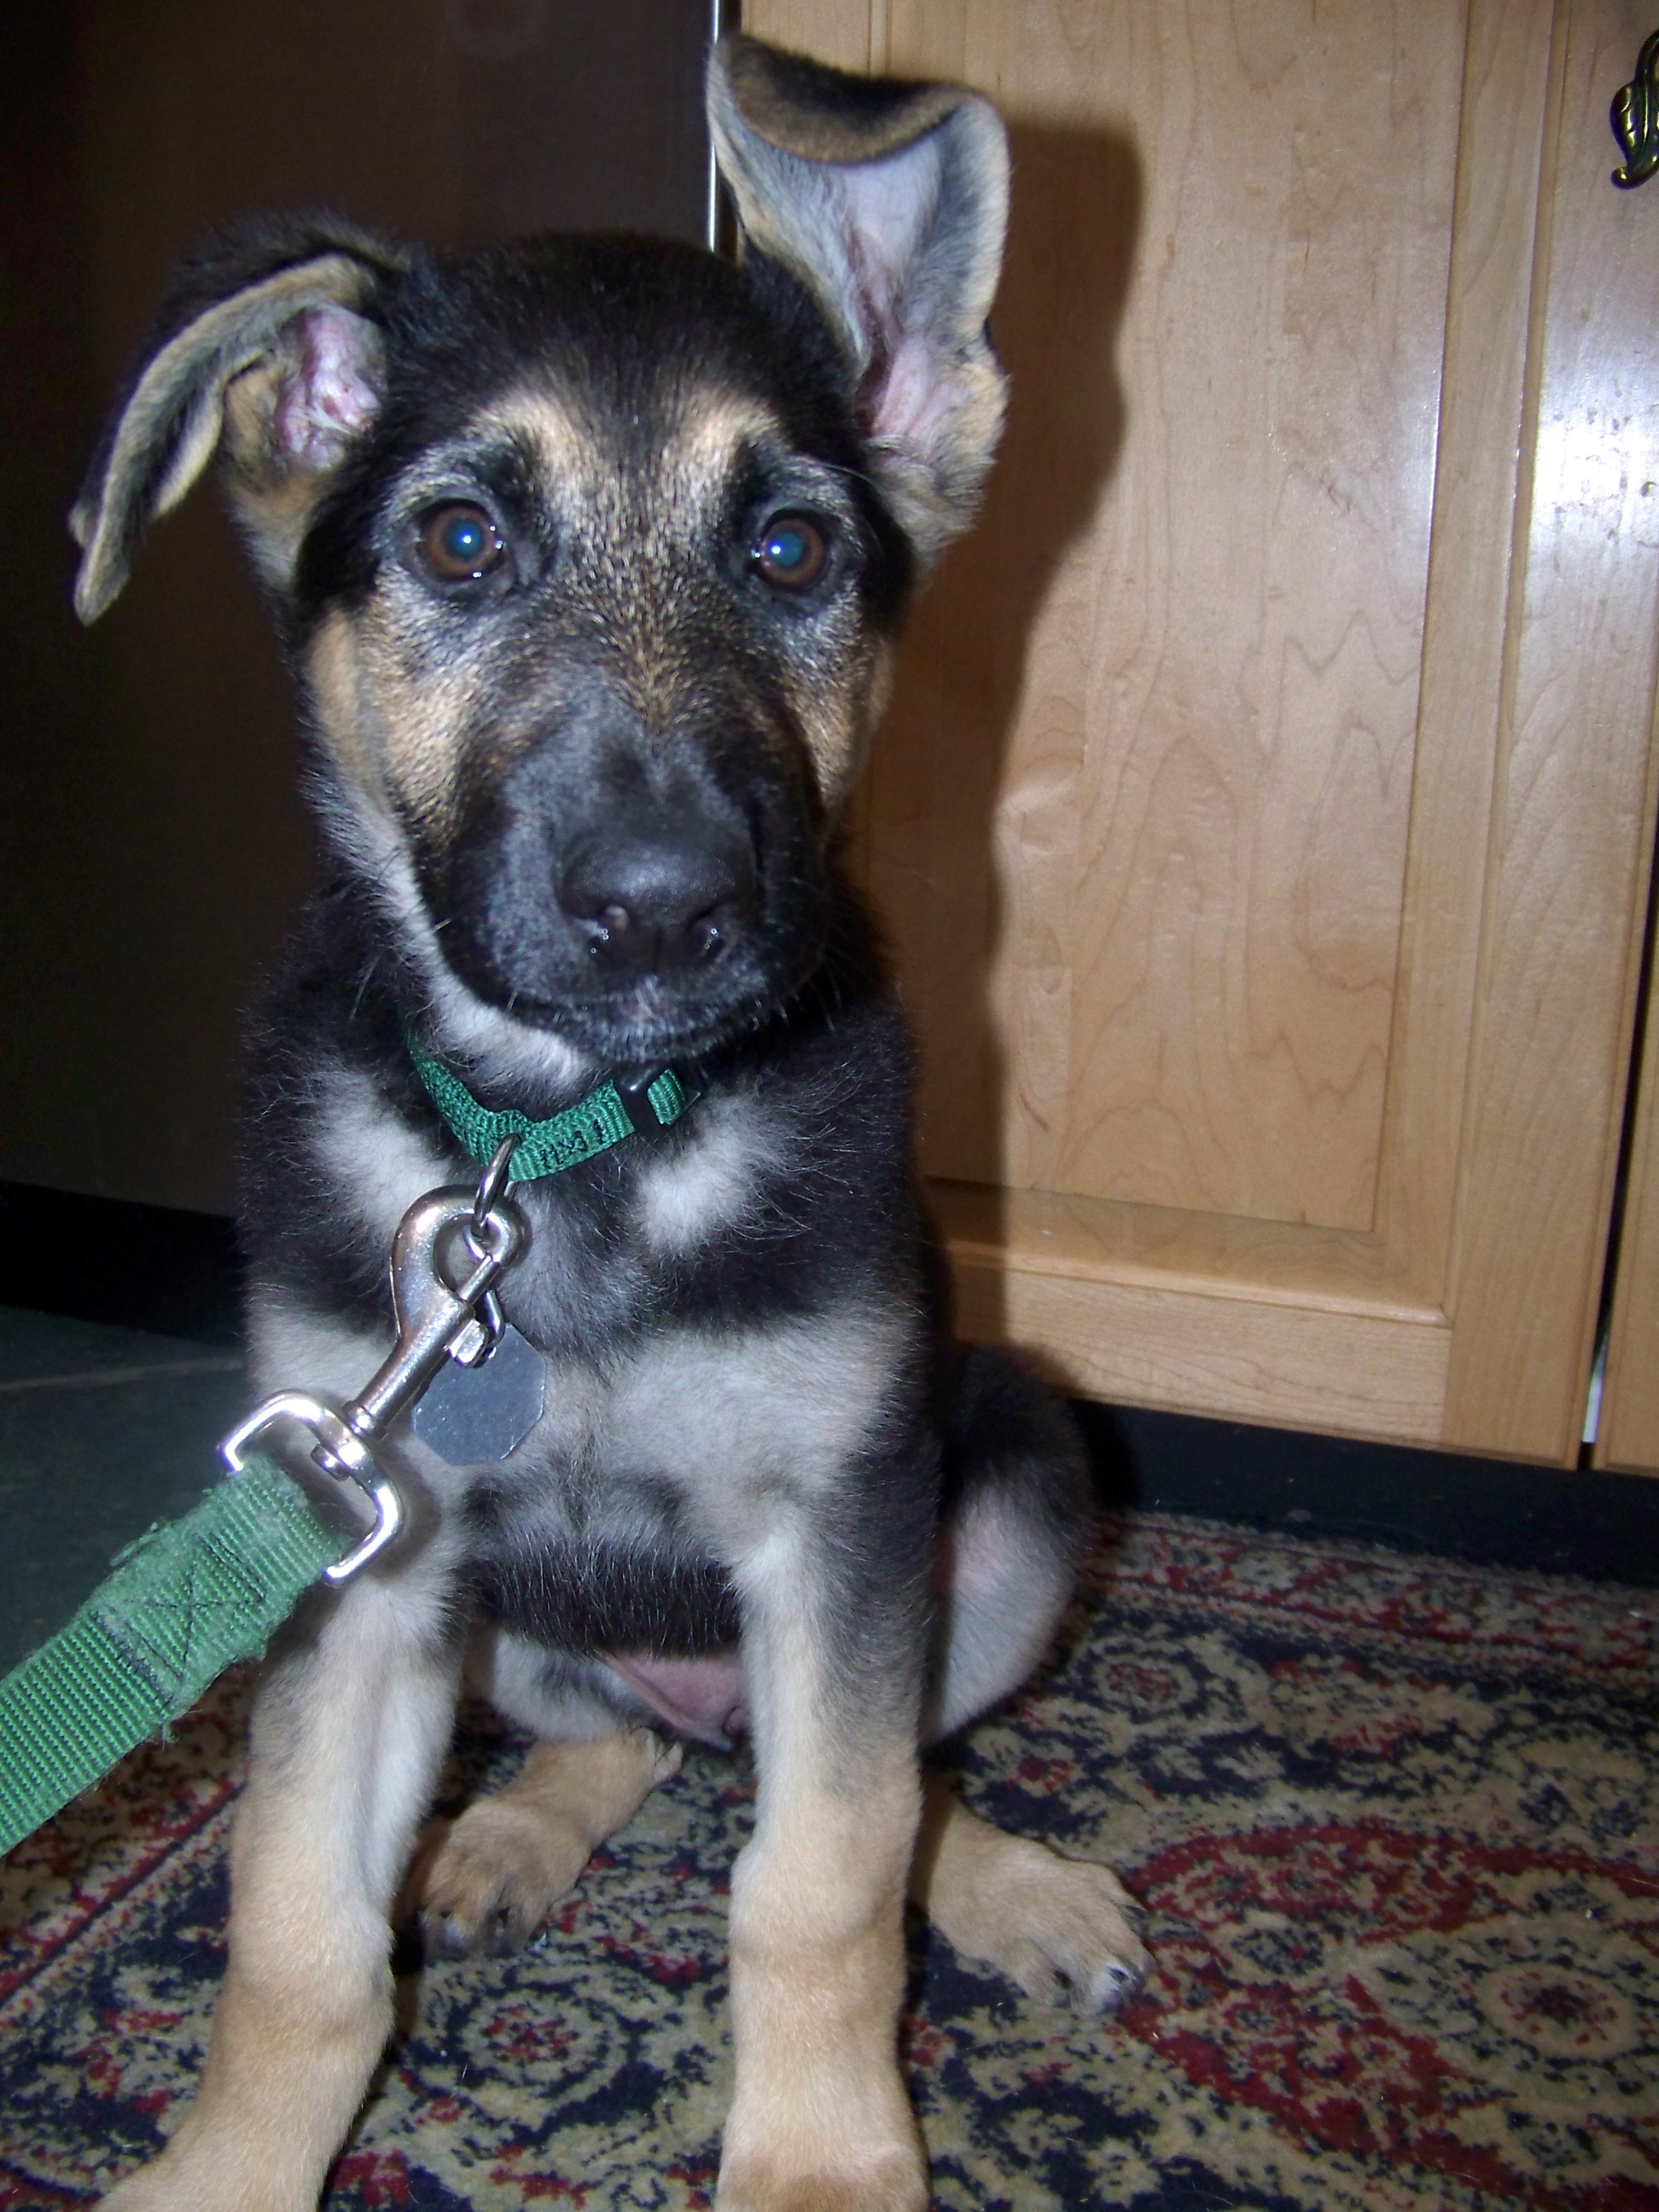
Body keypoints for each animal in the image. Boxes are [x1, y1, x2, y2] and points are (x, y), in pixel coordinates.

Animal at [71, 34, 1150, 2212]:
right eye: (462, 543)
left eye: (792, 553)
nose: (665, 911)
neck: (560, 1161)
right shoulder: (360, 1545)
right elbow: (294, 1931)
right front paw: (226, 2166)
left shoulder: (839, 1532)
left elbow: (819, 1882)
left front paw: (819, 2165)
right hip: (518, 1623)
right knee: (624, 1736)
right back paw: (506, 1830)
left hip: (1007, 1475)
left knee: (898, 1782)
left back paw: (1009, 1888)